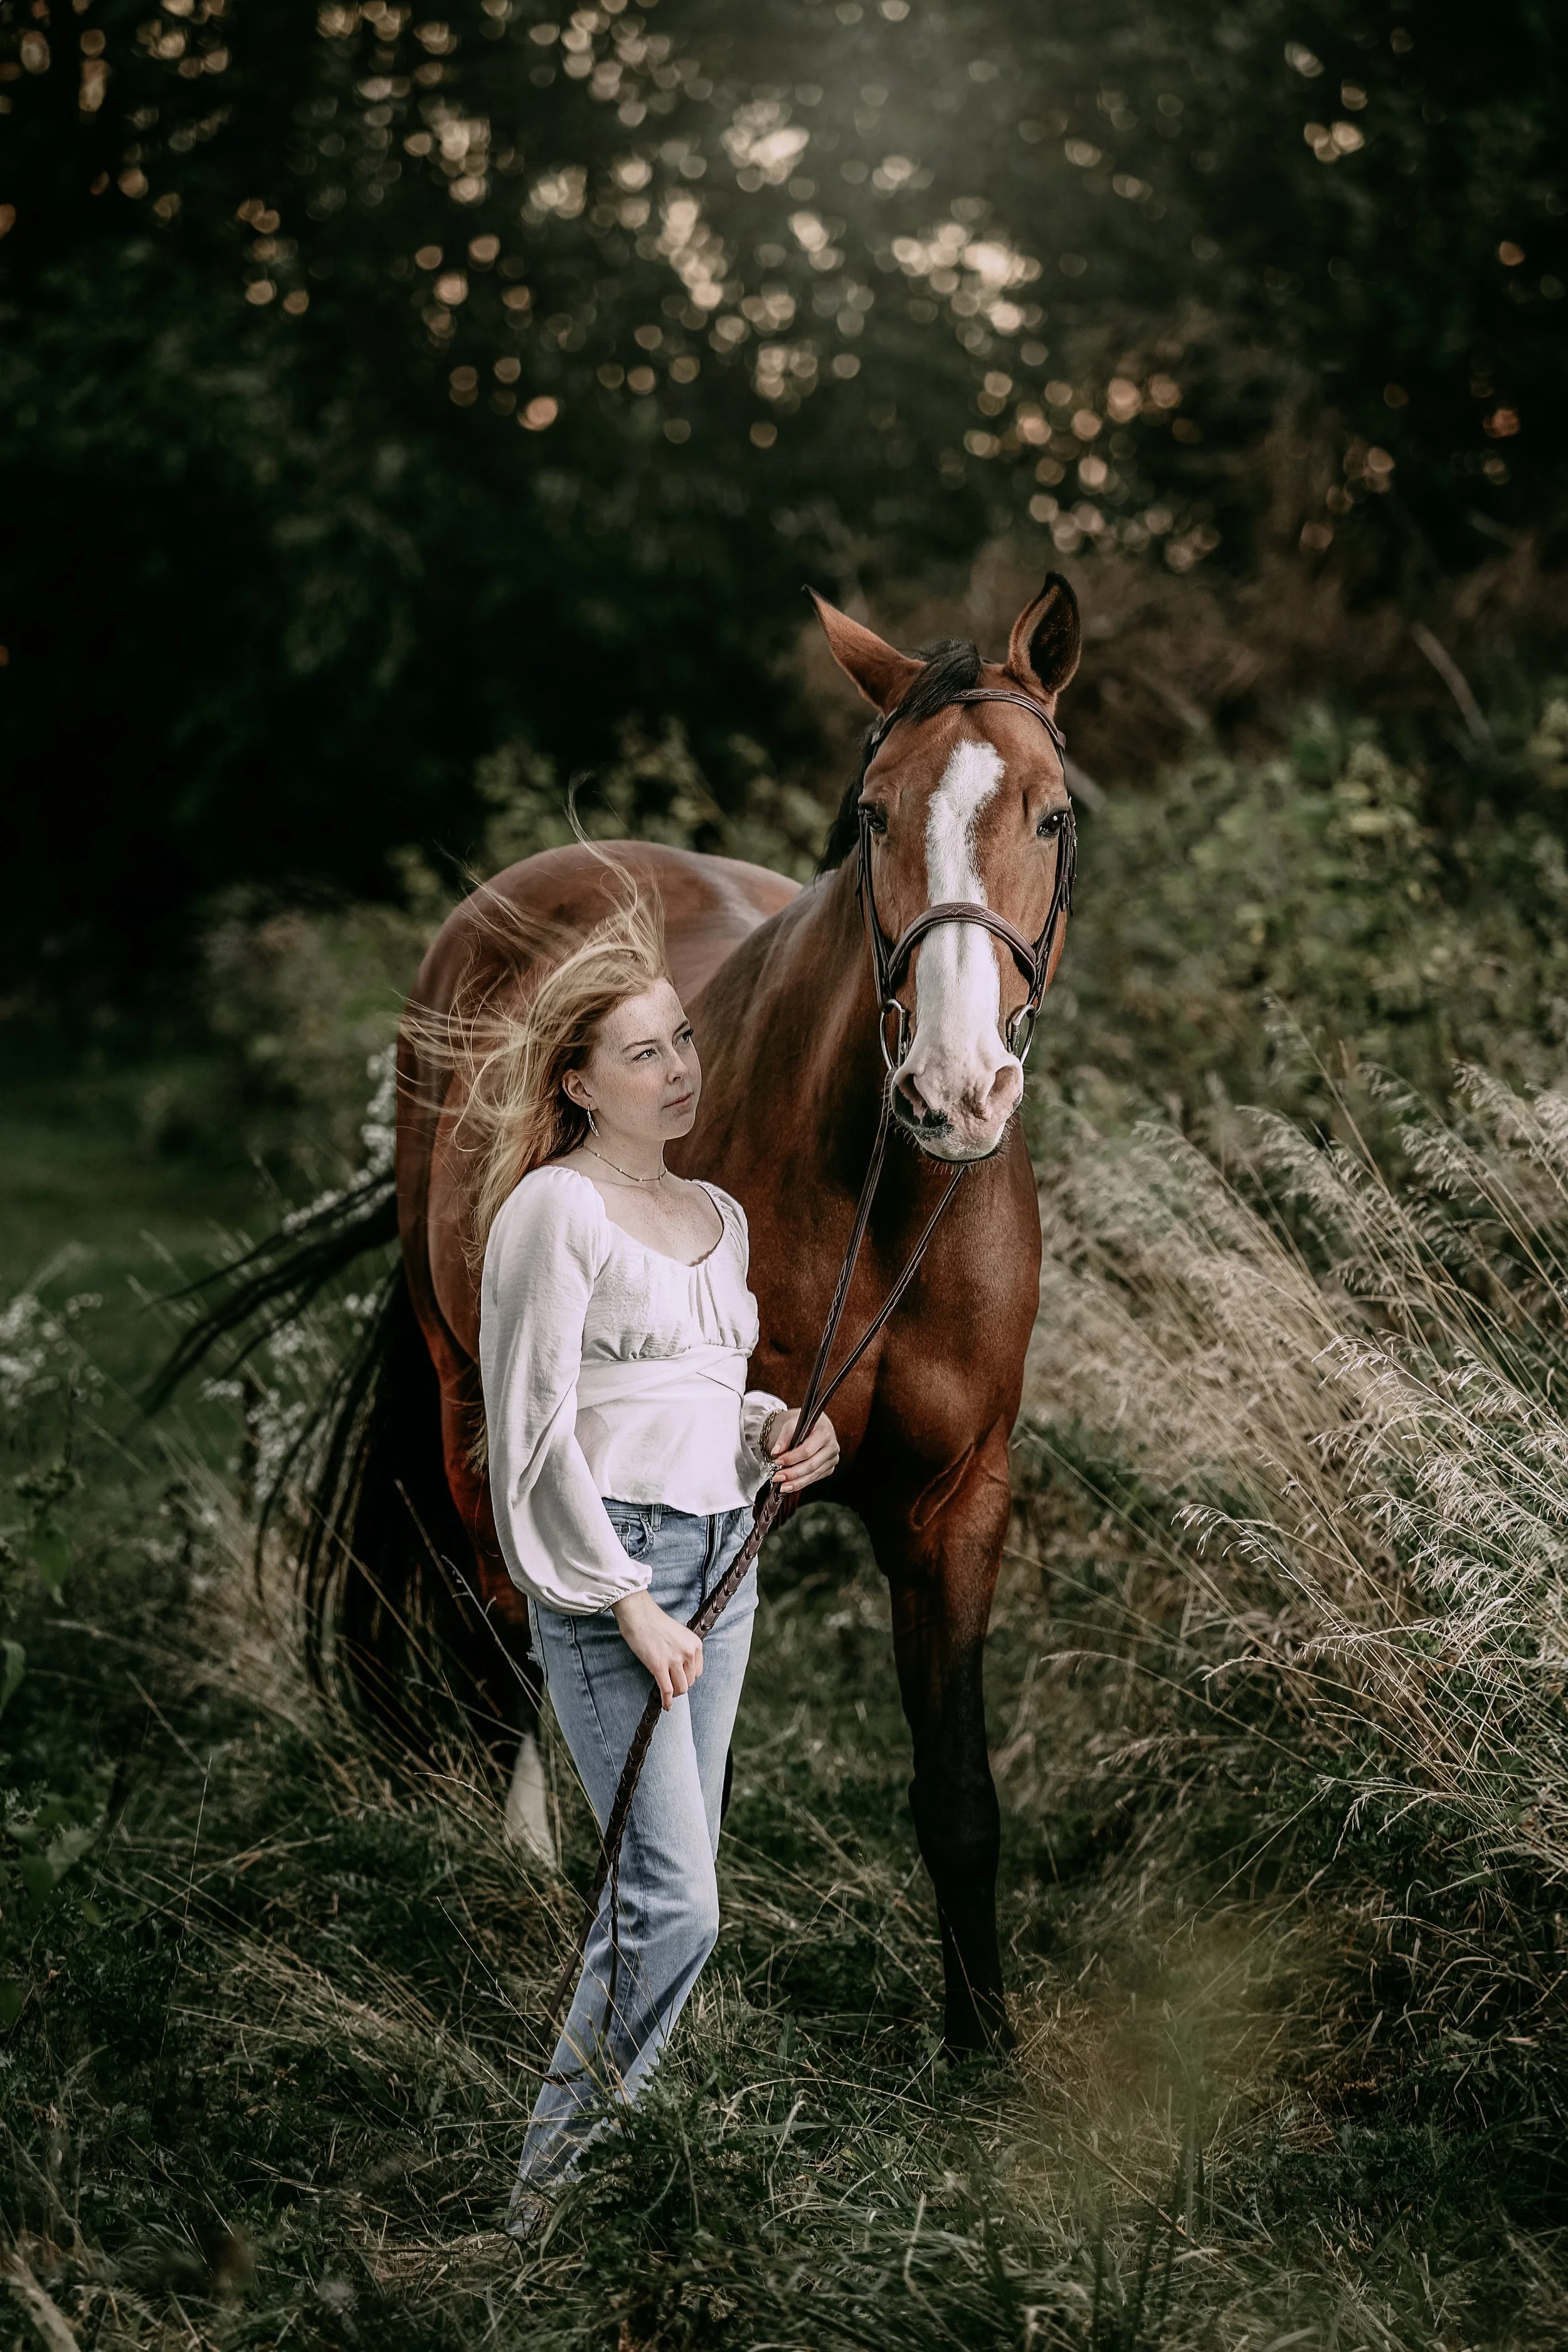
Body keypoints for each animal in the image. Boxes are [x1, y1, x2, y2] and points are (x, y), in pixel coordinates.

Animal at [172, 571, 1080, 2051]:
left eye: (1050, 815)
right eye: (872, 816)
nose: (951, 1091)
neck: (882, 1201)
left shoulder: (958, 1502)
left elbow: (958, 1795)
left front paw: (982, 2046)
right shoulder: (716, 1501)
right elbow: (674, 1750)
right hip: (475, 1394)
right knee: (508, 1614)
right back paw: (525, 1856)